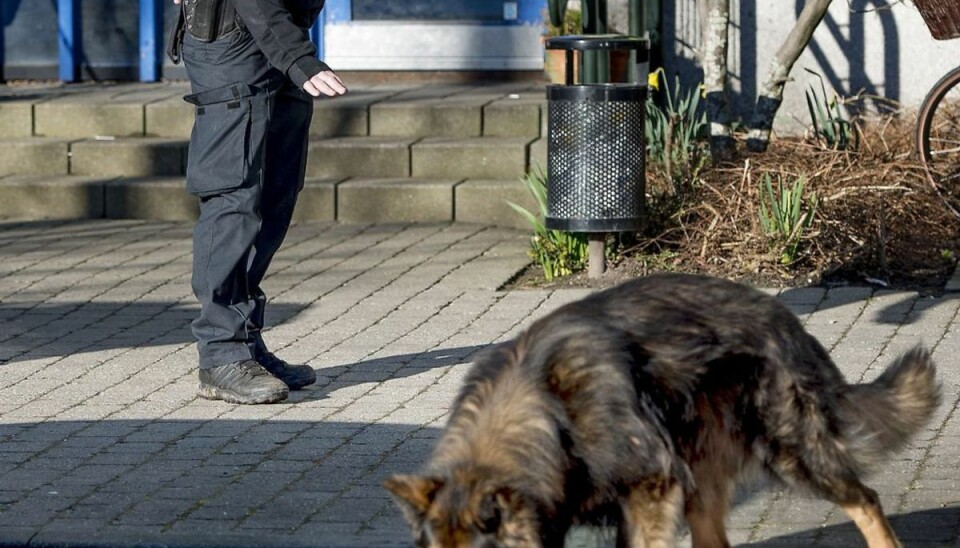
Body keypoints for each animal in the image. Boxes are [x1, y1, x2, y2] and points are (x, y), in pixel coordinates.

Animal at [384, 274, 936, 548]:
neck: (549, 411)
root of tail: (785, 317)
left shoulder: (649, 488)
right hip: (700, 479)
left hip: (791, 449)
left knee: (866, 501)